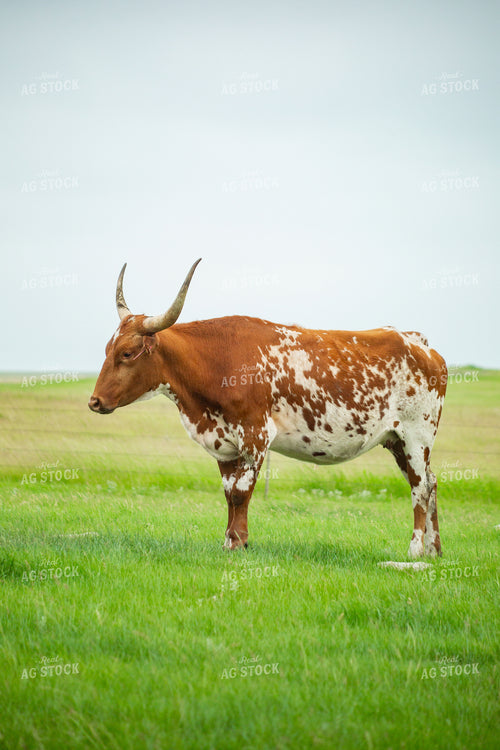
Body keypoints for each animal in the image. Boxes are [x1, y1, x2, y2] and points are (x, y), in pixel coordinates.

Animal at [89, 259, 447, 557]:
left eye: (127, 353)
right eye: (107, 349)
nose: (94, 402)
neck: (217, 363)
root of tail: (419, 342)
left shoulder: (256, 435)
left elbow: (241, 492)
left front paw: (237, 542)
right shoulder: (223, 443)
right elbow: (229, 492)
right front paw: (230, 540)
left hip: (417, 436)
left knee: (419, 487)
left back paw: (415, 549)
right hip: (396, 441)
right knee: (430, 482)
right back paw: (434, 550)